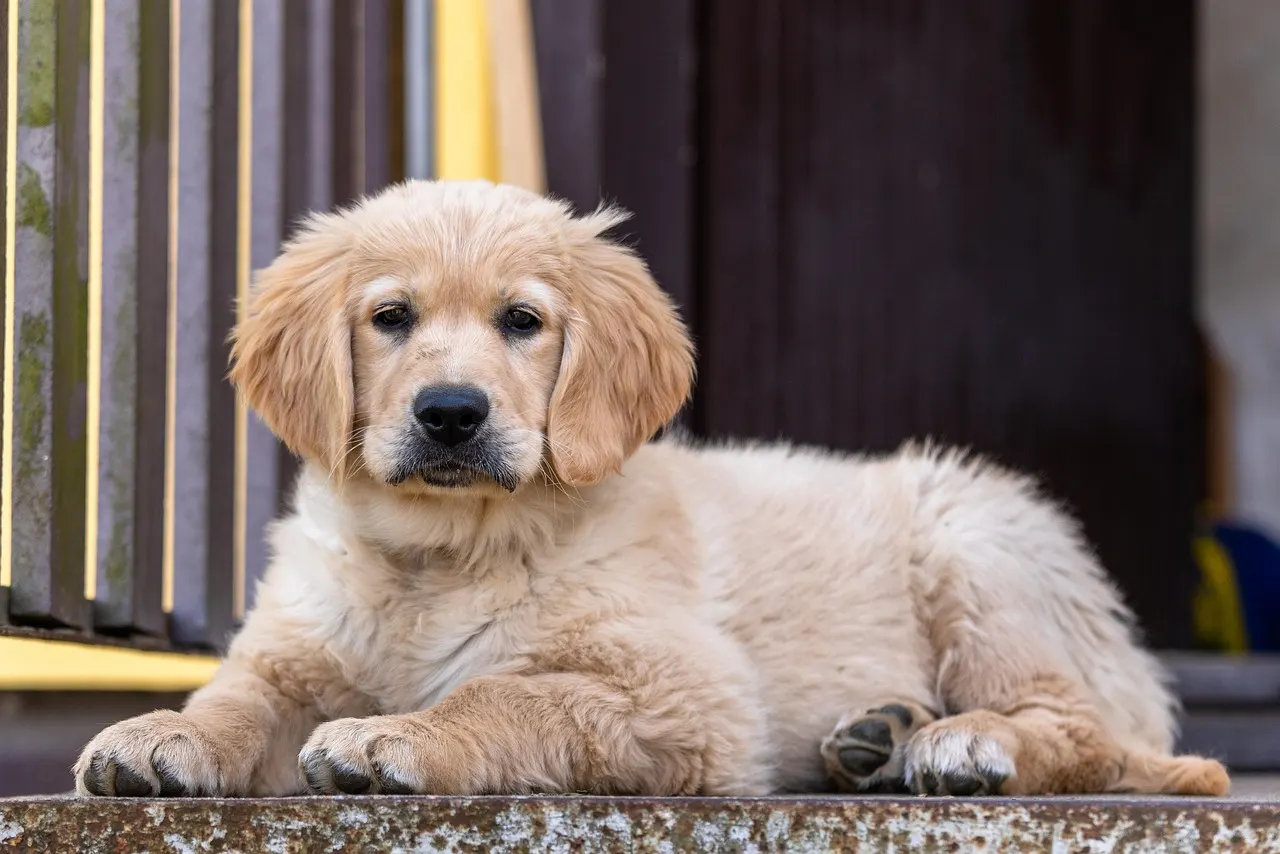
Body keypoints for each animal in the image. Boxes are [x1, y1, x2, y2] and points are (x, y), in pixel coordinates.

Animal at [72, 181, 1228, 804]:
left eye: (523, 321)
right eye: (390, 317)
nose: (451, 413)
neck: (442, 551)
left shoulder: (688, 694)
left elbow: (510, 692)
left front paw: (392, 735)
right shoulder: (292, 651)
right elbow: (236, 695)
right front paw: (160, 734)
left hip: (976, 544)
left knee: (1095, 736)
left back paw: (955, 744)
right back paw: (876, 737)